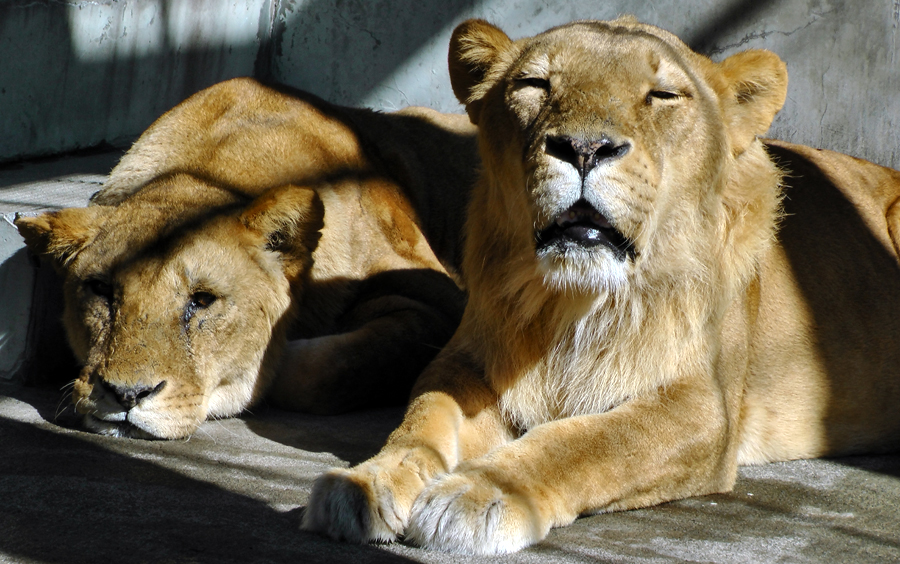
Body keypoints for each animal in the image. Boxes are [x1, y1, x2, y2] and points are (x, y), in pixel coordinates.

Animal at [15, 79, 478, 440]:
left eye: (203, 300)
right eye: (101, 290)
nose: (127, 395)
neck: (212, 172)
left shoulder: (441, 300)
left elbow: (328, 369)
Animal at [304, 18, 900, 556]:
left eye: (663, 95)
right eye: (534, 84)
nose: (584, 148)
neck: (574, 300)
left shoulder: (704, 406)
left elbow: (588, 442)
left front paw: (481, 494)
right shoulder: (468, 361)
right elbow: (422, 418)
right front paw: (367, 483)